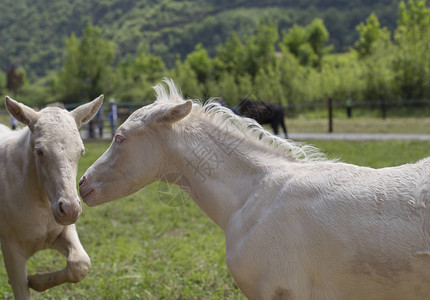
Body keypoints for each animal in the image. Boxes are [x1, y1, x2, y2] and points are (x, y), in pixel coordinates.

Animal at [0, 96, 103, 300]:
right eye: (39, 151)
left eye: (81, 151)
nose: (70, 210)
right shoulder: (11, 248)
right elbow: (21, 290)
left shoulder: (63, 232)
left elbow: (80, 265)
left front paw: (35, 280)